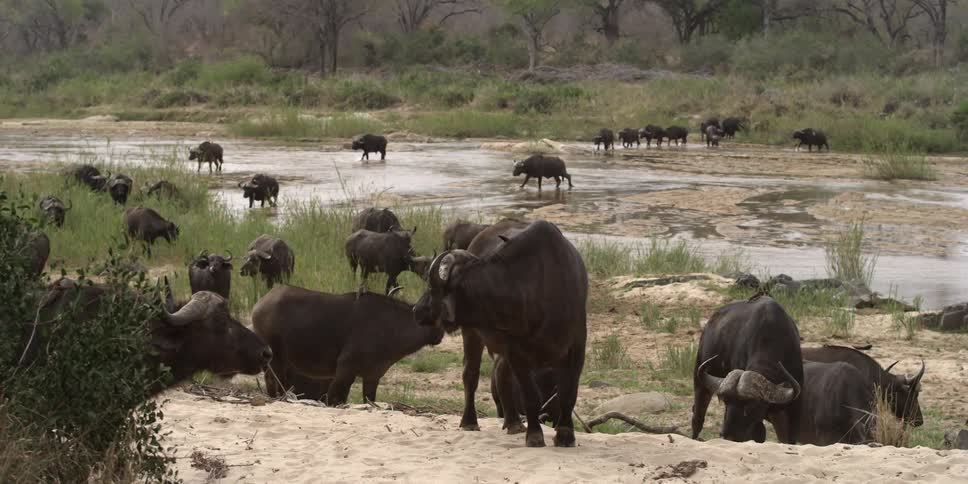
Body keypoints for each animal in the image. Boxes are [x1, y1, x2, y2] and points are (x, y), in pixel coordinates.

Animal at [253, 286, 444, 404]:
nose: (440, 336)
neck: (390, 325)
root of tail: (261, 303)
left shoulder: (372, 376)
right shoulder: (344, 370)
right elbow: (333, 400)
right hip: (277, 361)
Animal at [415, 219, 588, 448]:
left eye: (431, 289)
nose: (416, 310)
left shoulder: (577, 345)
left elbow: (568, 393)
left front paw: (565, 435)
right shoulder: (516, 349)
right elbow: (530, 396)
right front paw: (535, 435)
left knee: (501, 375)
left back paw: (513, 423)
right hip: (472, 334)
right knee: (471, 374)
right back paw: (470, 421)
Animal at [692, 295, 803, 444]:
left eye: (750, 405)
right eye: (726, 401)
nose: (728, 435)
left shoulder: (790, 410)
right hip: (700, 382)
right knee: (697, 418)